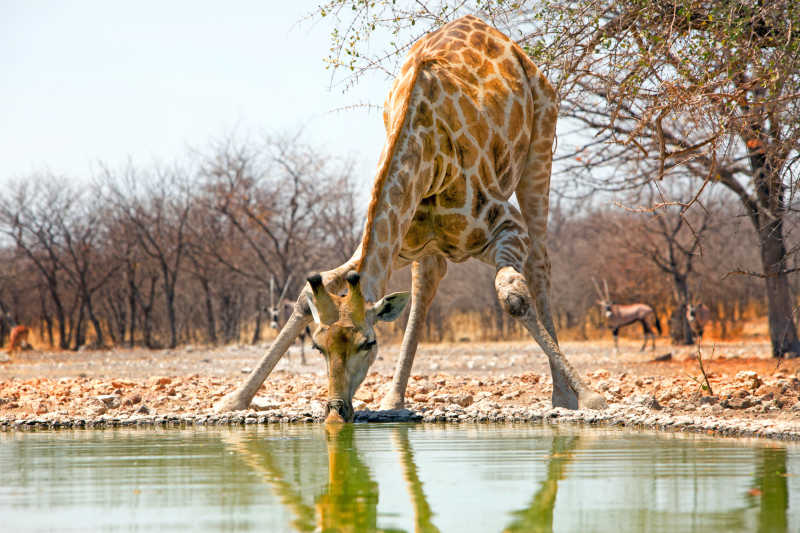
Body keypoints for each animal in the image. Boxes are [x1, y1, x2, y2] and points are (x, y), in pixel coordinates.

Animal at [216, 14, 604, 418]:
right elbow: (307, 294)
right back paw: (394, 397)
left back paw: (563, 396)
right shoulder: (395, 243)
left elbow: (513, 296)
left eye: (368, 344)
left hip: (541, 144)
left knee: (540, 264)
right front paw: (234, 399)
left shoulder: (505, 227)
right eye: (317, 346)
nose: (337, 409)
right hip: (427, 245)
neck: (427, 155)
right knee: (426, 283)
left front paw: (590, 396)